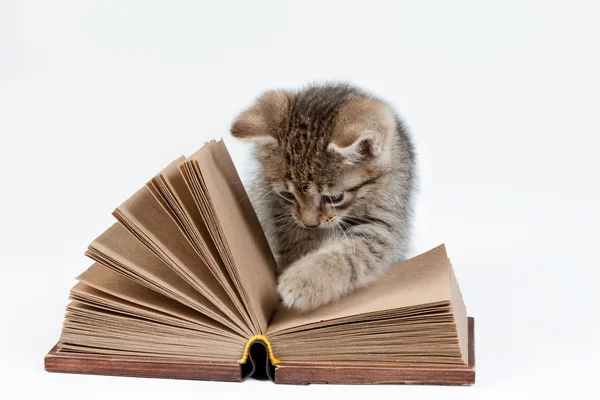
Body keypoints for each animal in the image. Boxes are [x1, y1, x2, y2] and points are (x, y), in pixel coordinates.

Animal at [231, 83, 418, 310]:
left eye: (334, 198)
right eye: (287, 194)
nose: (310, 223)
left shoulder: (385, 220)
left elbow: (356, 252)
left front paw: (304, 280)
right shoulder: (279, 213)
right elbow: (293, 240)